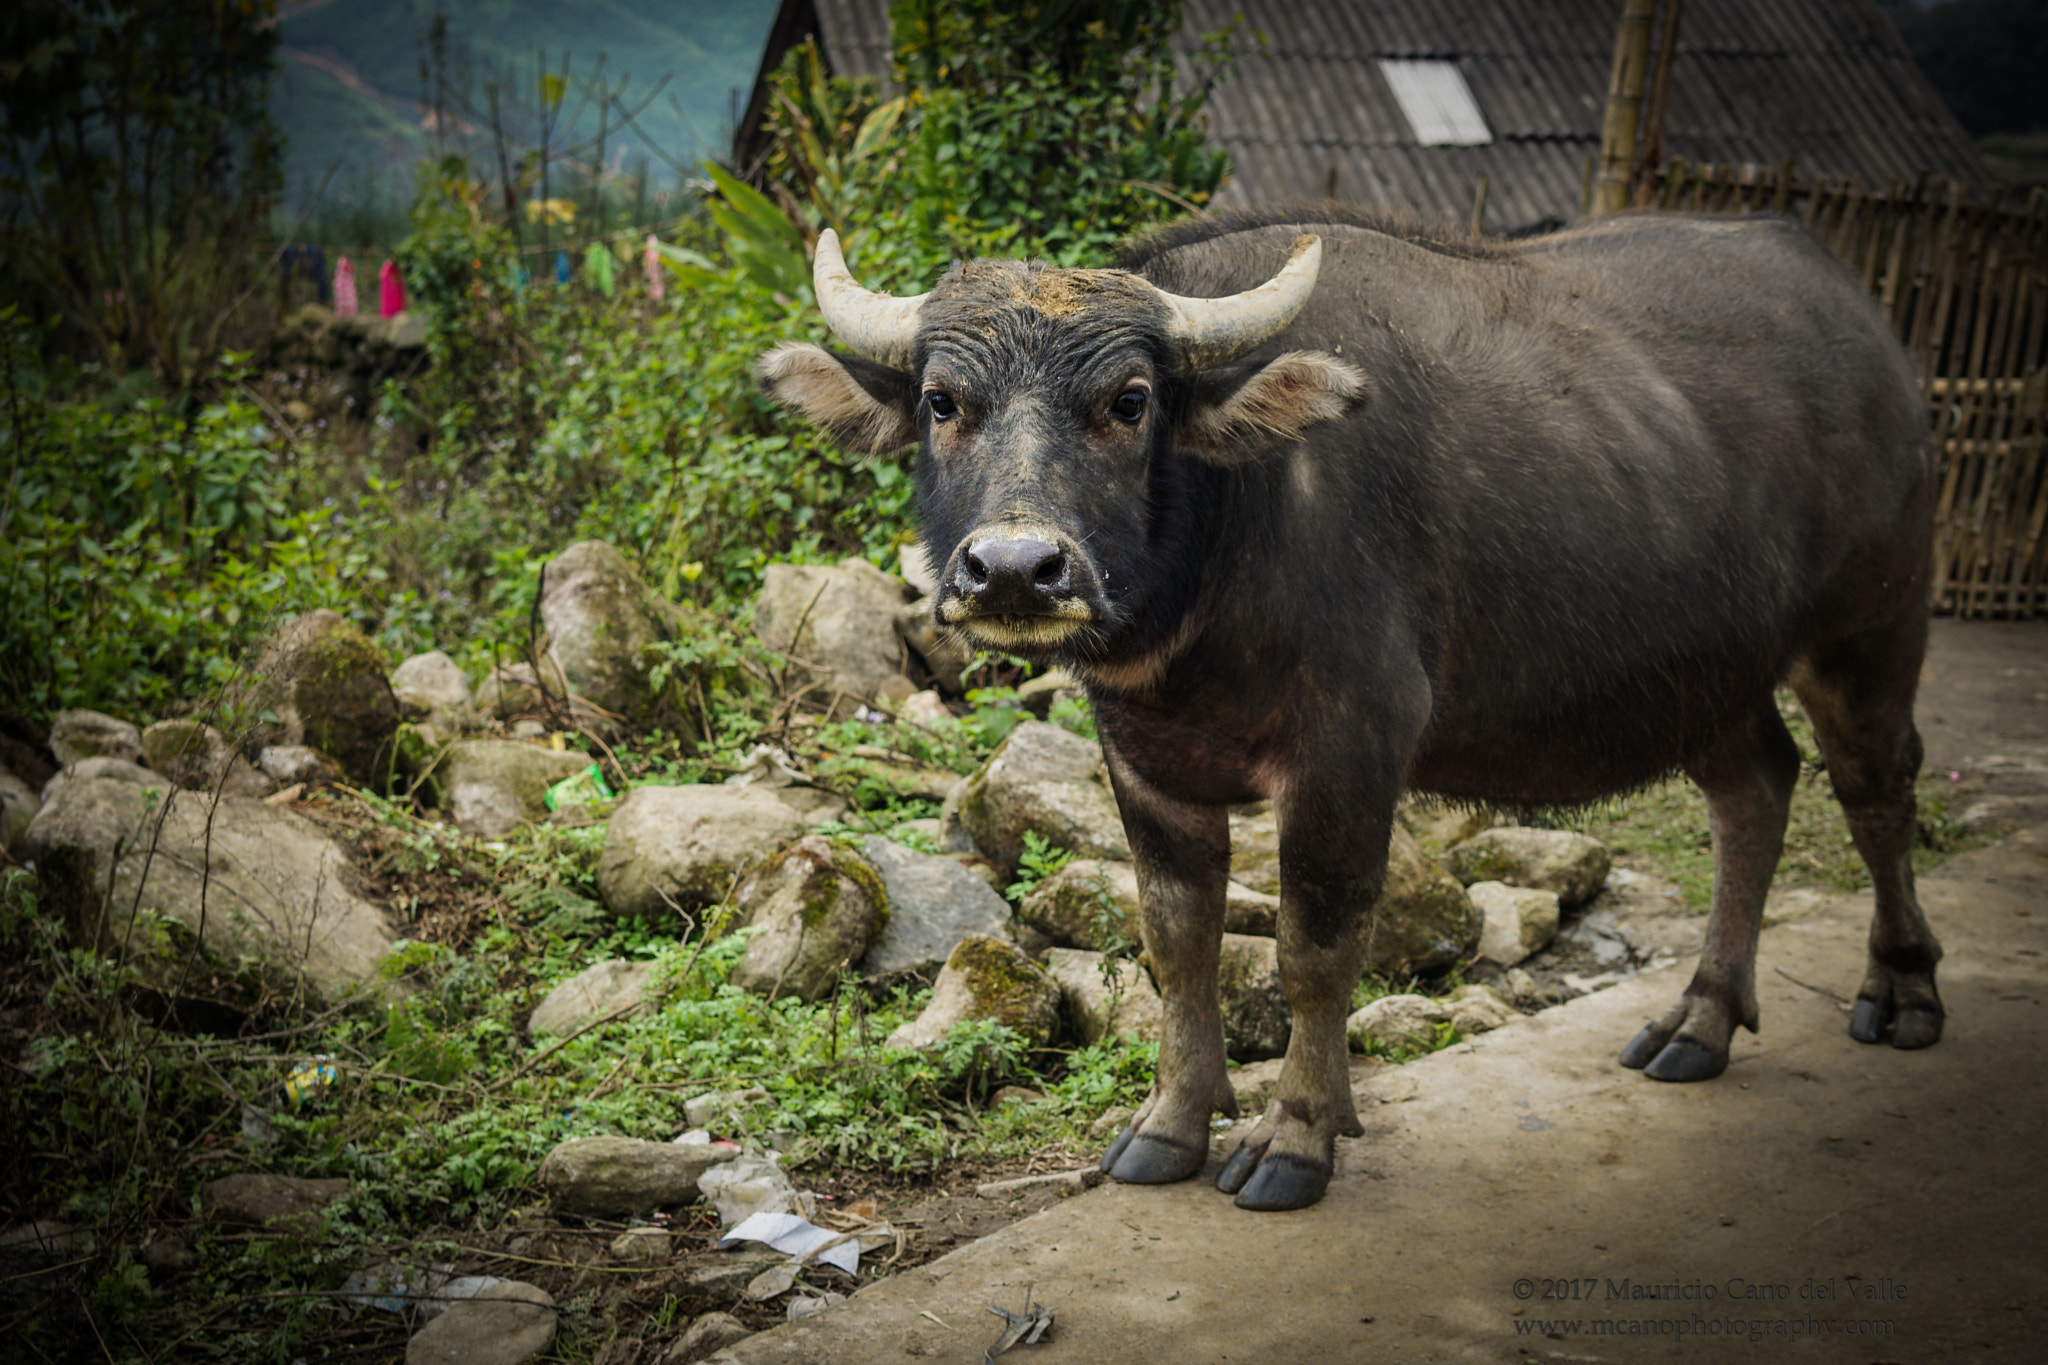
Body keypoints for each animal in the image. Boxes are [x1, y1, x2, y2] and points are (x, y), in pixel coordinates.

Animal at [759, 206, 1940, 1212]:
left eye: (1130, 401)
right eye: (941, 401)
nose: (1013, 568)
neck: (1218, 561)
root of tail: (1861, 321)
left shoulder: (1350, 750)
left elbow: (1313, 950)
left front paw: (1295, 1136)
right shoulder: (1142, 761)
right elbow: (1175, 940)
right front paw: (1170, 1122)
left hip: (1870, 626)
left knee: (1876, 789)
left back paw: (1903, 993)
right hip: (1706, 675)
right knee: (1756, 789)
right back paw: (1698, 1022)